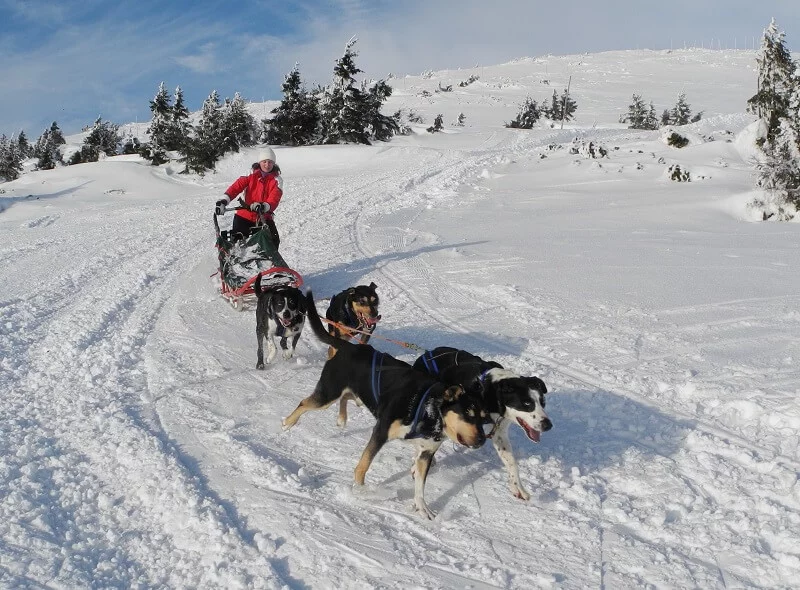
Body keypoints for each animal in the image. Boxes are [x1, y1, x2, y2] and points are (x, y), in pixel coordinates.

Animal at [284, 294, 484, 520]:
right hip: (327, 394)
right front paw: (360, 490)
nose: (482, 440)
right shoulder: (380, 433)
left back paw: (342, 418)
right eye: (467, 413)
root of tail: (350, 347)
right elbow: (363, 465)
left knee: (346, 398)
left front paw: (422, 507)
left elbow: (420, 486)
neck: (428, 408)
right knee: (305, 403)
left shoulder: (426, 453)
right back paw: (288, 422)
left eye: (483, 417)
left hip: (352, 393)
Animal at [412, 350, 552, 502]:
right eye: (526, 403)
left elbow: (511, 462)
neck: (488, 393)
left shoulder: (499, 432)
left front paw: (518, 487)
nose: (548, 425)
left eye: (543, 403)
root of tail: (427, 353)